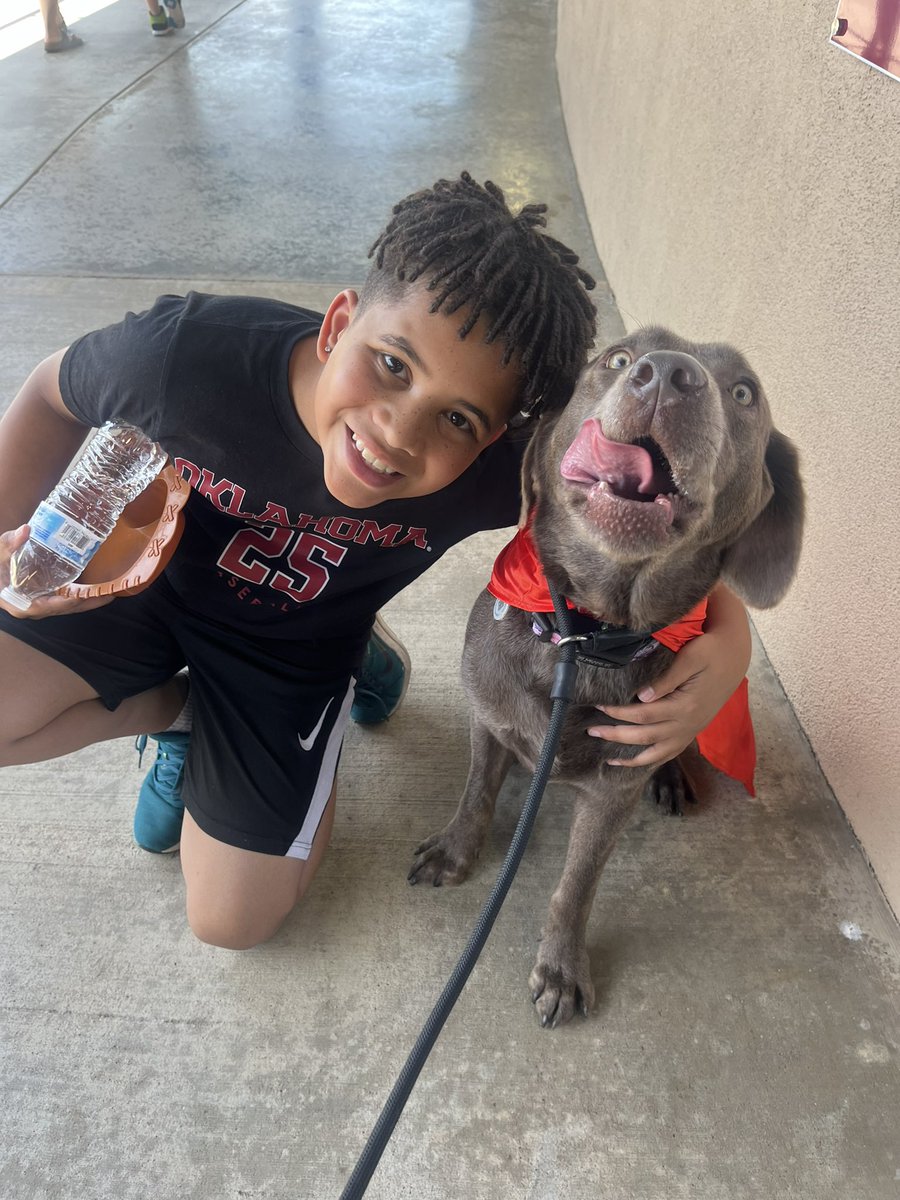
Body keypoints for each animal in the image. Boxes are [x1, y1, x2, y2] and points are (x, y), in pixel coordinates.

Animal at [412, 333, 806, 1027]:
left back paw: (674, 777)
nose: (669, 377)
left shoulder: (612, 791)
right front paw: (455, 852)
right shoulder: (488, 716)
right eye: (618, 359)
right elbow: (476, 793)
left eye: (744, 392)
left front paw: (562, 969)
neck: (584, 639)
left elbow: (577, 885)